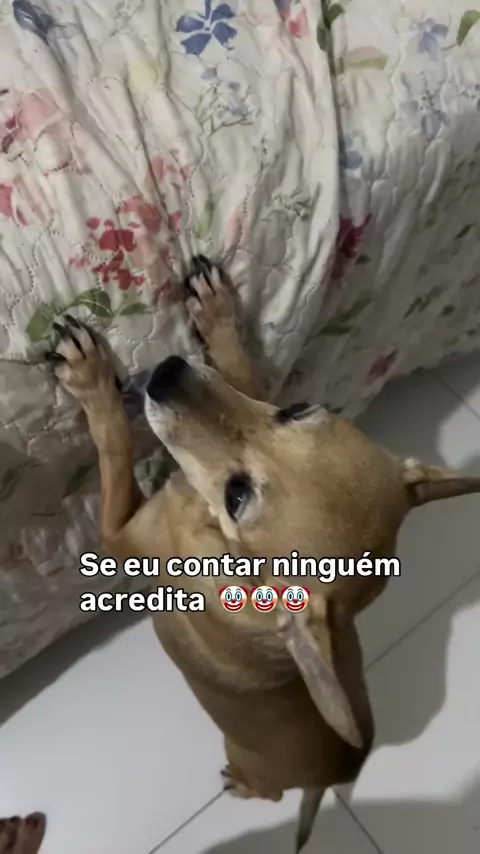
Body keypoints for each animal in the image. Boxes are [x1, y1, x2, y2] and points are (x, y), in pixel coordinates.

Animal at [45, 256, 480, 851]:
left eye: (238, 496)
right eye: (295, 409)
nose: (166, 373)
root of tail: (337, 774)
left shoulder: (121, 530)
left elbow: (113, 442)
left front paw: (90, 378)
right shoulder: (252, 398)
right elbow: (242, 375)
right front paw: (217, 314)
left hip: (248, 762)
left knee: (268, 794)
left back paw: (244, 786)